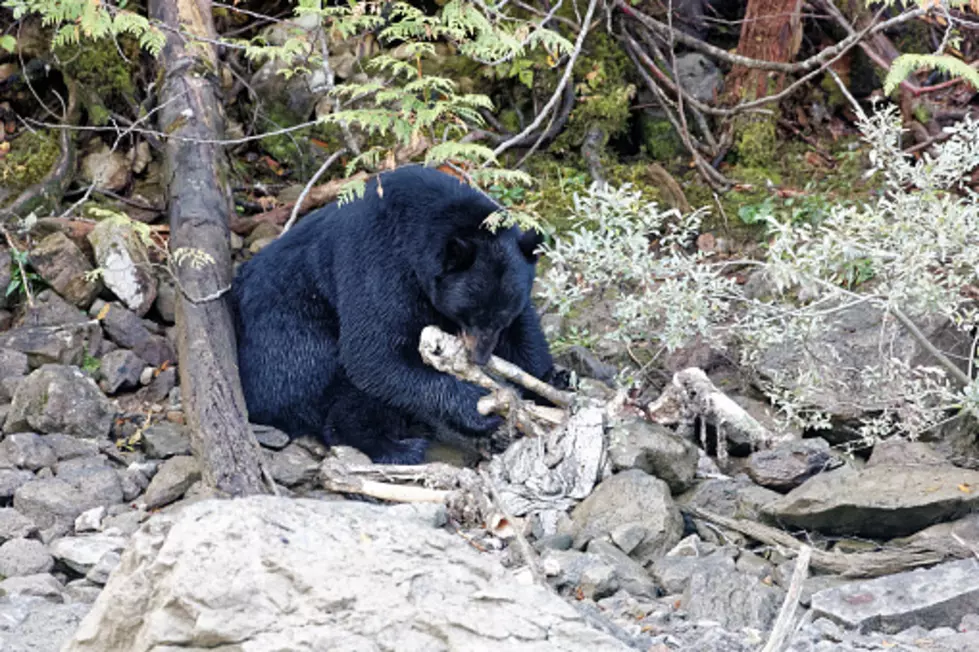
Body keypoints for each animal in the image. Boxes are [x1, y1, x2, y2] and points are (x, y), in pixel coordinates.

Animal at [228, 166, 552, 466]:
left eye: (501, 319)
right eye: (468, 315)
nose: (480, 358)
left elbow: (525, 332)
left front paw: (547, 381)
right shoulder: (380, 260)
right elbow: (374, 353)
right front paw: (477, 408)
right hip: (289, 339)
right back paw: (397, 447)